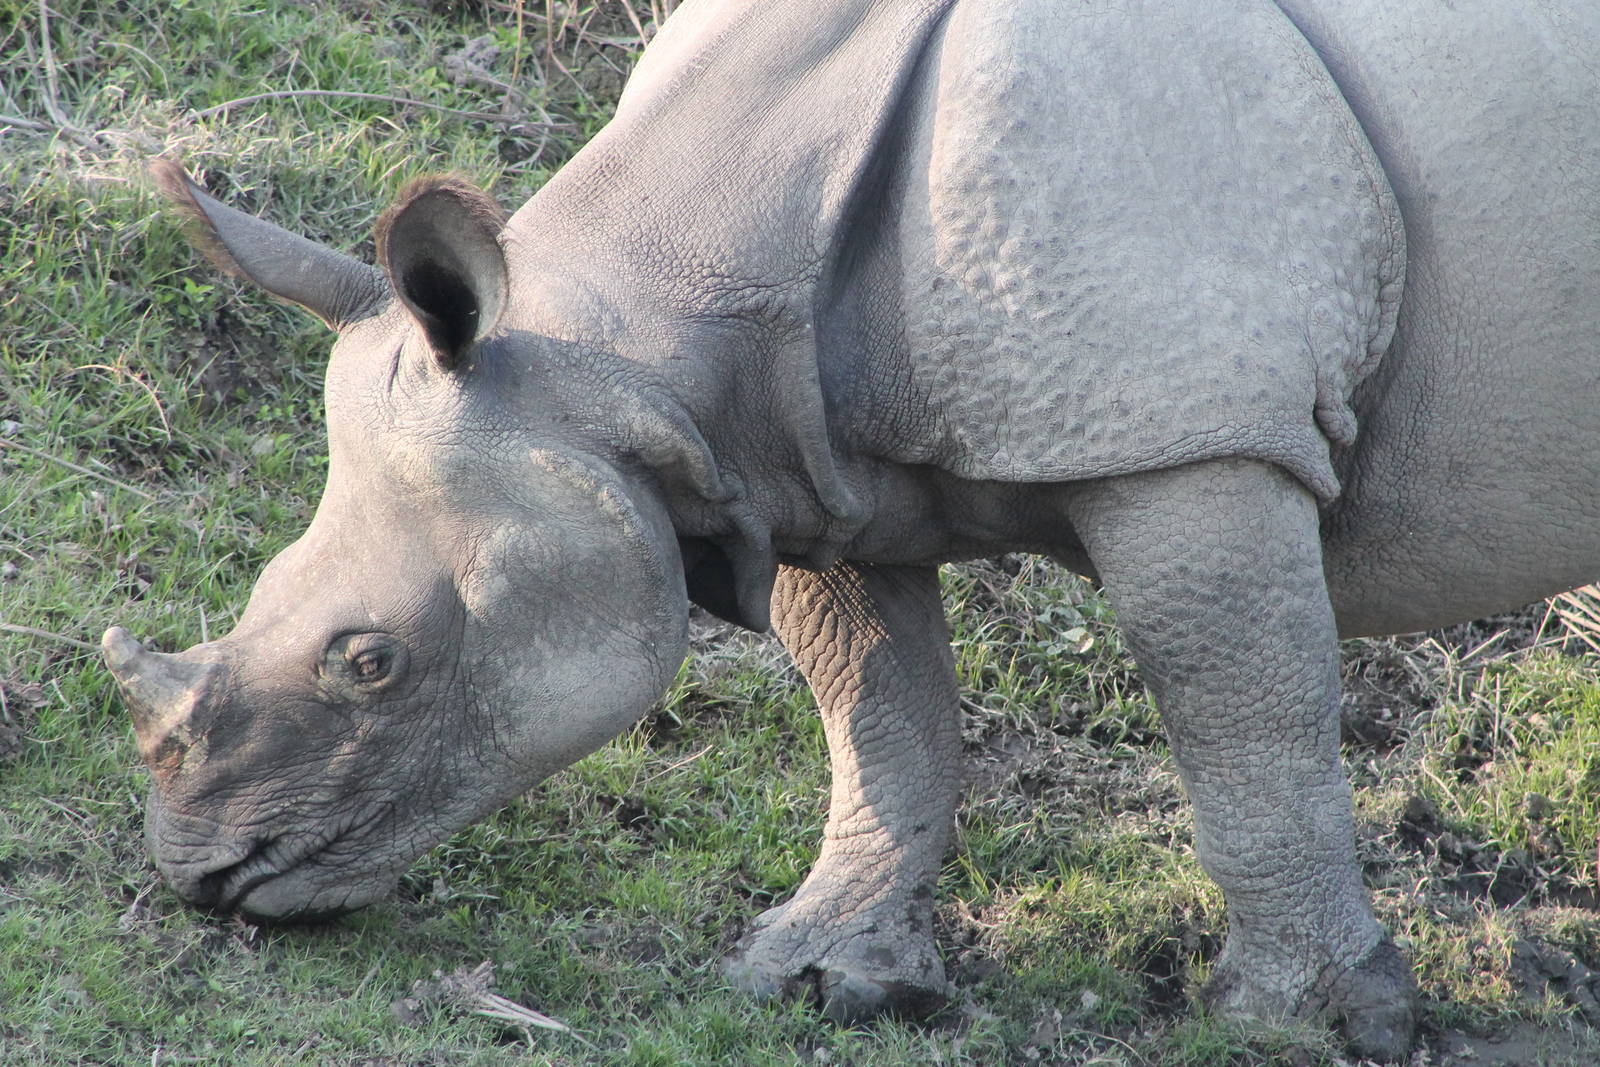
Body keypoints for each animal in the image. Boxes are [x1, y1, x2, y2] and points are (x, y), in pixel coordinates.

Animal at [101, 0, 1600, 1058]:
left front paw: (1307, 1021)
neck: (630, 360)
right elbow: (878, 706)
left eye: (373, 662)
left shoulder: (1192, 430)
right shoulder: (800, 456)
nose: (203, 875)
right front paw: (824, 977)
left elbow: (1244, 713)